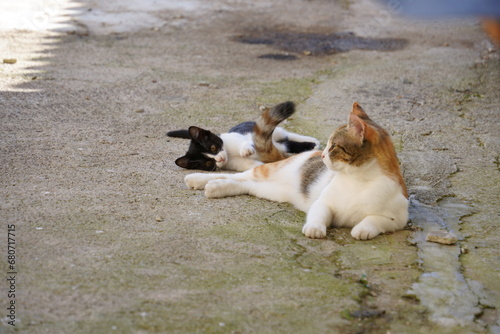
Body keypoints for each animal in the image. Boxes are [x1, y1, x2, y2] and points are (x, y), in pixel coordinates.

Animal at [186, 103, 408, 239]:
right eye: (328, 144)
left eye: (334, 146)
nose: (322, 155)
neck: (357, 179)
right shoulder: (324, 203)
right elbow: (318, 214)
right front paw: (315, 228)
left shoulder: (398, 218)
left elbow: (374, 220)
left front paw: (362, 229)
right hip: (267, 172)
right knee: (239, 175)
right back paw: (198, 179)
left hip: (271, 191)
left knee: (244, 184)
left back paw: (215, 188)